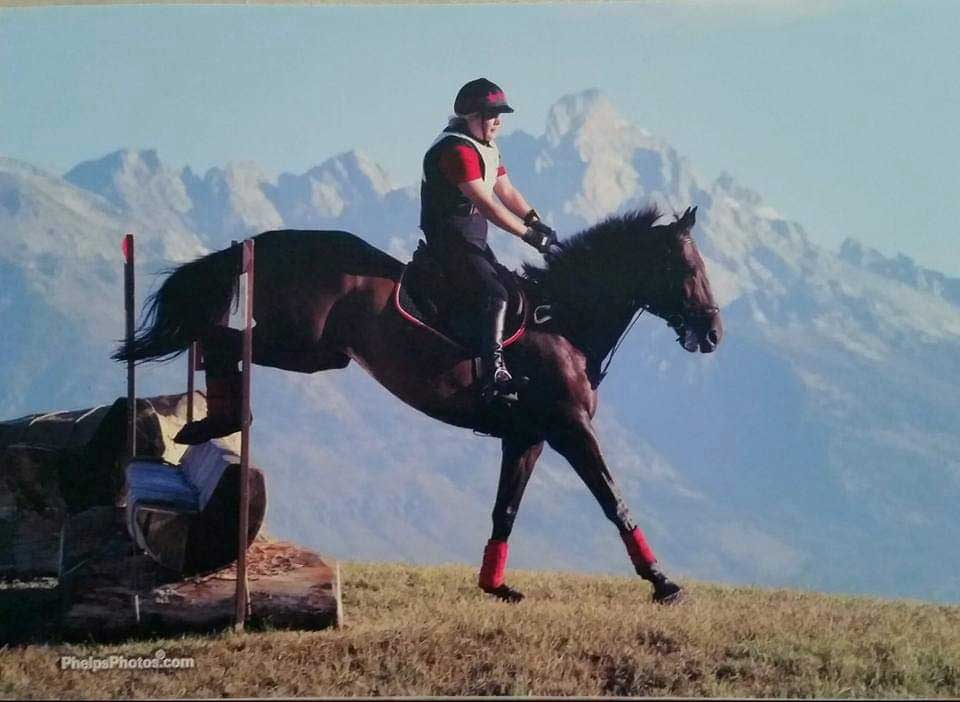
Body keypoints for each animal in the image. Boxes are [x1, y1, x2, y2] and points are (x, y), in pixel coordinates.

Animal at [114, 205, 720, 604]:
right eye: (689, 270)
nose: (713, 335)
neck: (563, 322)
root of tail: (264, 241)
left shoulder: (527, 436)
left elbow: (505, 510)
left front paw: (495, 585)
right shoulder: (569, 428)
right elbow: (613, 500)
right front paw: (663, 583)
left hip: (319, 353)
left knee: (216, 338)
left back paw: (207, 424)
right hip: (303, 344)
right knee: (218, 338)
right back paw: (216, 421)